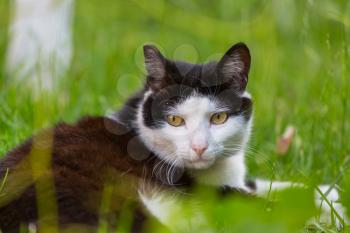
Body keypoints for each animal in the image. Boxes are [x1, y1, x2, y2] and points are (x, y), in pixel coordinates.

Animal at [0, 42, 344, 232]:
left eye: (218, 117)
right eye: (175, 120)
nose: (199, 147)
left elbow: (263, 185)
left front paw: (328, 193)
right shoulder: (205, 195)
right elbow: (260, 202)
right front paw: (330, 211)